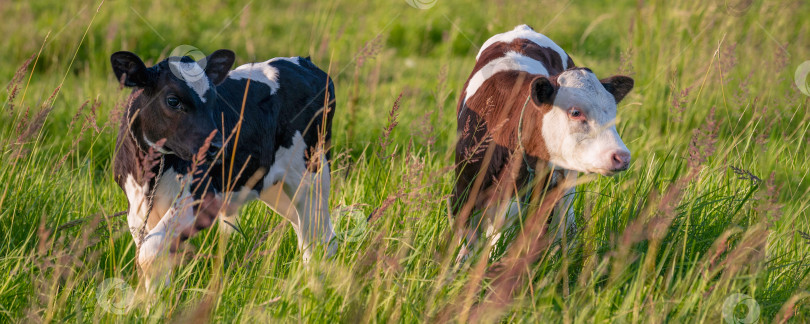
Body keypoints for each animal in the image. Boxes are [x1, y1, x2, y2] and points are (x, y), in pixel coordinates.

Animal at [110, 48, 334, 288]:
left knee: (320, 239)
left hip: (313, 173)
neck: (150, 174)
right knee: (305, 233)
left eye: (214, 100)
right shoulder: (137, 209)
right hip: (275, 187)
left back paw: (315, 287)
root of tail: (304, 62)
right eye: (172, 100)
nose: (218, 146)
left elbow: (148, 253)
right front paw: (153, 298)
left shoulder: (202, 196)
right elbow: (154, 258)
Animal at [454, 24, 632, 260]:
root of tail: (522, 29)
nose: (622, 156)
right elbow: (465, 248)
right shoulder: (463, 194)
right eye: (575, 112)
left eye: (613, 113)